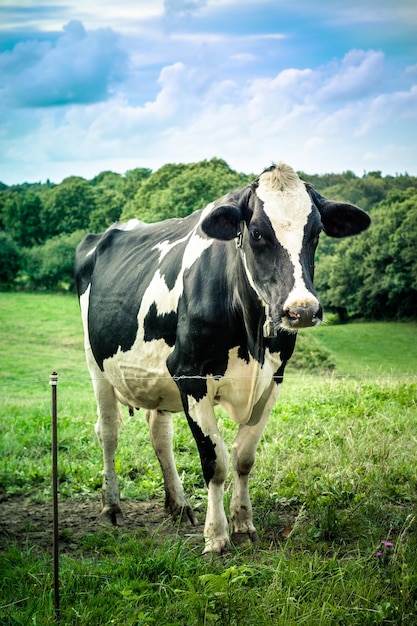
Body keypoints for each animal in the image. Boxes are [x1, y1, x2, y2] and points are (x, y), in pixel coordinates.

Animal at [73, 161, 368, 552]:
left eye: (316, 232)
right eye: (256, 232)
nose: (301, 310)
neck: (251, 335)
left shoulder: (273, 378)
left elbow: (243, 457)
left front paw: (243, 522)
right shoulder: (189, 373)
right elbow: (215, 461)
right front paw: (216, 535)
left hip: (157, 378)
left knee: (159, 434)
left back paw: (179, 505)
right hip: (97, 365)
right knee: (107, 431)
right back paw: (112, 507)